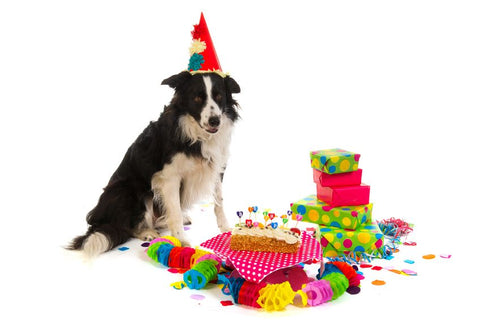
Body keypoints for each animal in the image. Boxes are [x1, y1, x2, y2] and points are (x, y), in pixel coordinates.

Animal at [68, 70, 240, 258]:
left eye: (219, 96)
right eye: (197, 98)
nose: (215, 121)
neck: (197, 134)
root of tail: (101, 221)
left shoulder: (217, 168)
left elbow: (219, 202)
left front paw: (225, 229)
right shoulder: (170, 177)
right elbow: (175, 211)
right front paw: (182, 240)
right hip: (129, 191)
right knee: (127, 226)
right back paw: (147, 232)